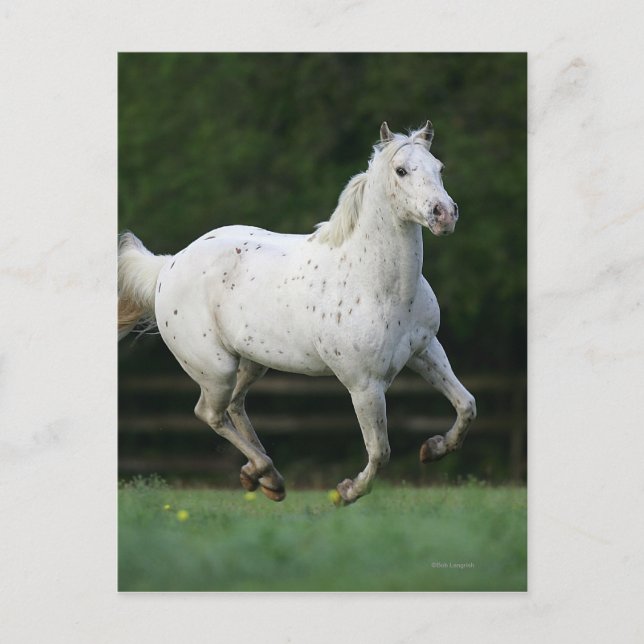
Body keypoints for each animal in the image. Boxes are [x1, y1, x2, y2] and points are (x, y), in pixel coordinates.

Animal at [118, 121, 476, 505]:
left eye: (439, 167)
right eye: (401, 171)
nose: (444, 214)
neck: (379, 284)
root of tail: (168, 265)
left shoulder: (425, 350)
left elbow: (466, 405)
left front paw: (433, 448)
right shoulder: (364, 385)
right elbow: (380, 451)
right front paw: (346, 492)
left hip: (252, 362)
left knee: (234, 406)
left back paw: (264, 477)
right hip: (216, 369)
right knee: (210, 412)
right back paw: (266, 474)